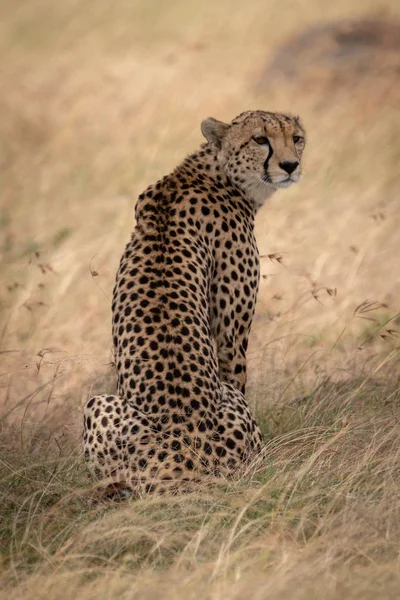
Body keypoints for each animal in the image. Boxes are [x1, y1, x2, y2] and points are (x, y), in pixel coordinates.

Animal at [83, 110, 304, 494]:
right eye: (261, 139)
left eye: (297, 138)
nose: (291, 165)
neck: (216, 172)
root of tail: (185, 453)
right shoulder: (231, 338)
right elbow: (236, 368)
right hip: (100, 402)